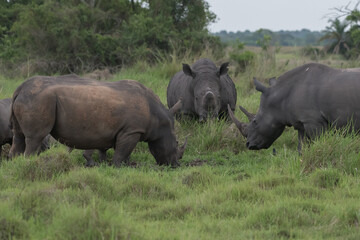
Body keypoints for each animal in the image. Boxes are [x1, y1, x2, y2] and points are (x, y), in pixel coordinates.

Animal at [9, 75, 187, 167]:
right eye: (176, 143)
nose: (175, 165)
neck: (158, 116)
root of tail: (19, 88)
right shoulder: (131, 130)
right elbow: (122, 152)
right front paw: (118, 167)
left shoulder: (114, 131)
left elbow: (108, 150)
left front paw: (104, 165)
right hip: (38, 100)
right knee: (35, 138)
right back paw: (28, 163)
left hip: (31, 98)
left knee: (18, 136)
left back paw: (15, 166)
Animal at [228, 62, 360, 151]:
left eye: (255, 121)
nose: (249, 145)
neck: (280, 95)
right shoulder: (301, 122)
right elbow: (301, 147)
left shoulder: (313, 121)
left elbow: (318, 143)